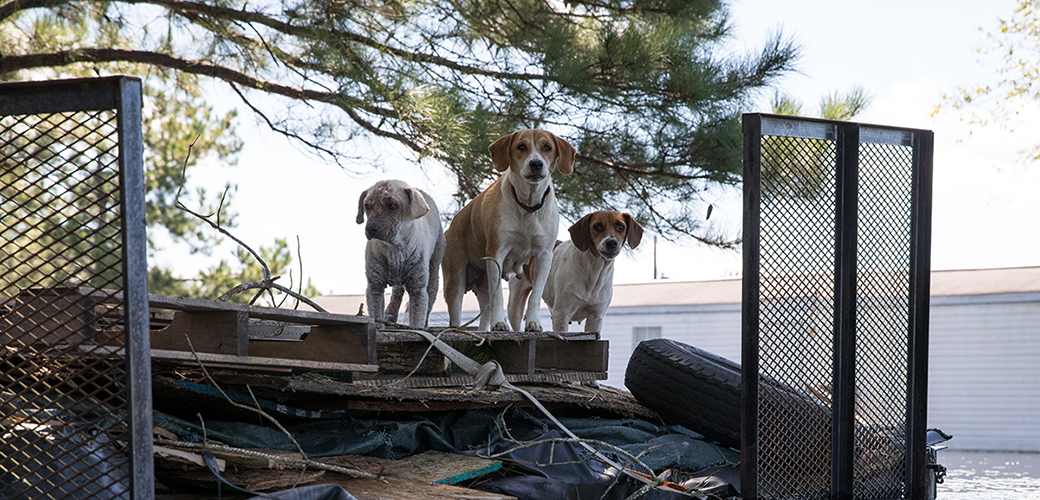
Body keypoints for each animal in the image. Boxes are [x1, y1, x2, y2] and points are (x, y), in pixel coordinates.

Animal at [355, 178, 445, 328]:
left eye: (392, 206)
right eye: (367, 206)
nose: (370, 229)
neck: (395, 250)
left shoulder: (417, 289)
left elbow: (417, 320)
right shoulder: (375, 286)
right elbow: (376, 316)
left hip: (434, 268)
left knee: (430, 297)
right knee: (397, 292)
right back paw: (390, 313)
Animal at [443, 128, 578, 330]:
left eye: (547, 147)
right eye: (521, 146)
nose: (536, 163)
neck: (528, 206)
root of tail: (452, 225)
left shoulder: (544, 255)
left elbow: (535, 294)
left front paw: (533, 322)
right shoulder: (496, 253)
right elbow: (498, 295)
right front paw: (499, 322)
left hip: (483, 284)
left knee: (485, 311)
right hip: (455, 279)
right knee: (457, 314)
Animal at [505, 209, 636, 330]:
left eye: (621, 227)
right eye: (597, 226)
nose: (611, 242)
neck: (594, 272)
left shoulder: (596, 318)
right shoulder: (562, 314)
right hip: (515, 306)